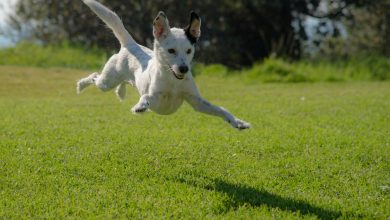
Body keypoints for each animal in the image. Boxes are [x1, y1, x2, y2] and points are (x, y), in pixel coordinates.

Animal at [77, 0, 251, 130]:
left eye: (189, 50)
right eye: (171, 50)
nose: (184, 69)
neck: (173, 81)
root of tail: (130, 44)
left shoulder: (197, 102)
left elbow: (221, 109)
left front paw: (238, 122)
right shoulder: (156, 99)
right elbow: (146, 97)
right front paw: (140, 106)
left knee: (123, 82)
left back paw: (121, 91)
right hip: (107, 81)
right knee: (95, 77)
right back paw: (81, 85)